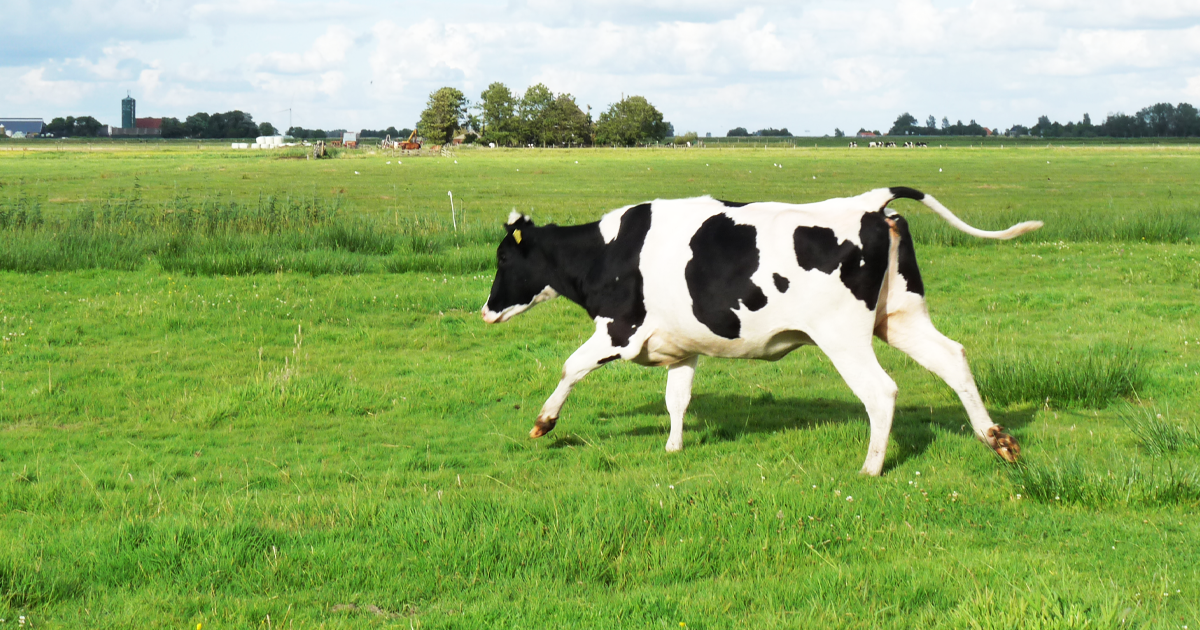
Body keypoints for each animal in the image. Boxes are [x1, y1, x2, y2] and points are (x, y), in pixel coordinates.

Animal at [480, 188, 1041, 475]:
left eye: (503, 258)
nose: (485, 311)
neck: (609, 250)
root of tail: (868, 200)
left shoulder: (619, 329)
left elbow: (570, 367)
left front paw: (544, 423)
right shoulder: (683, 346)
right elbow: (677, 399)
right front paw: (674, 449)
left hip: (843, 336)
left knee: (881, 392)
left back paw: (871, 468)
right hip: (901, 317)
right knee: (953, 358)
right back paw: (997, 440)